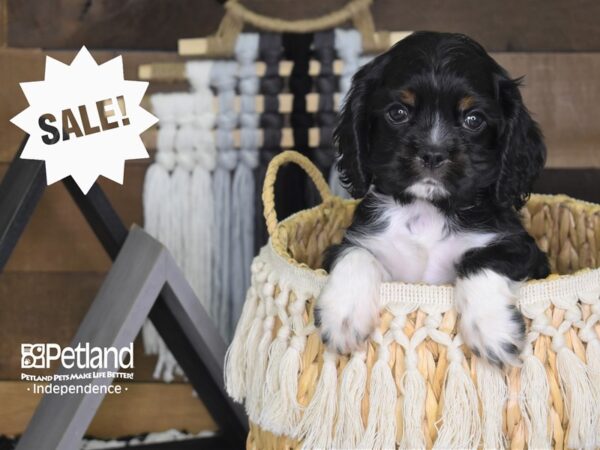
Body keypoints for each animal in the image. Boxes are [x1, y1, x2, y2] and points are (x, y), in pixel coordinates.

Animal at [316, 32, 552, 370]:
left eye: (473, 119)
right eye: (398, 113)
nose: (432, 153)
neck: (428, 210)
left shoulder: (523, 248)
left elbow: (481, 259)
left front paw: (492, 329)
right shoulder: (354, 241)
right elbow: (355, 254)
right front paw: (343, 317)